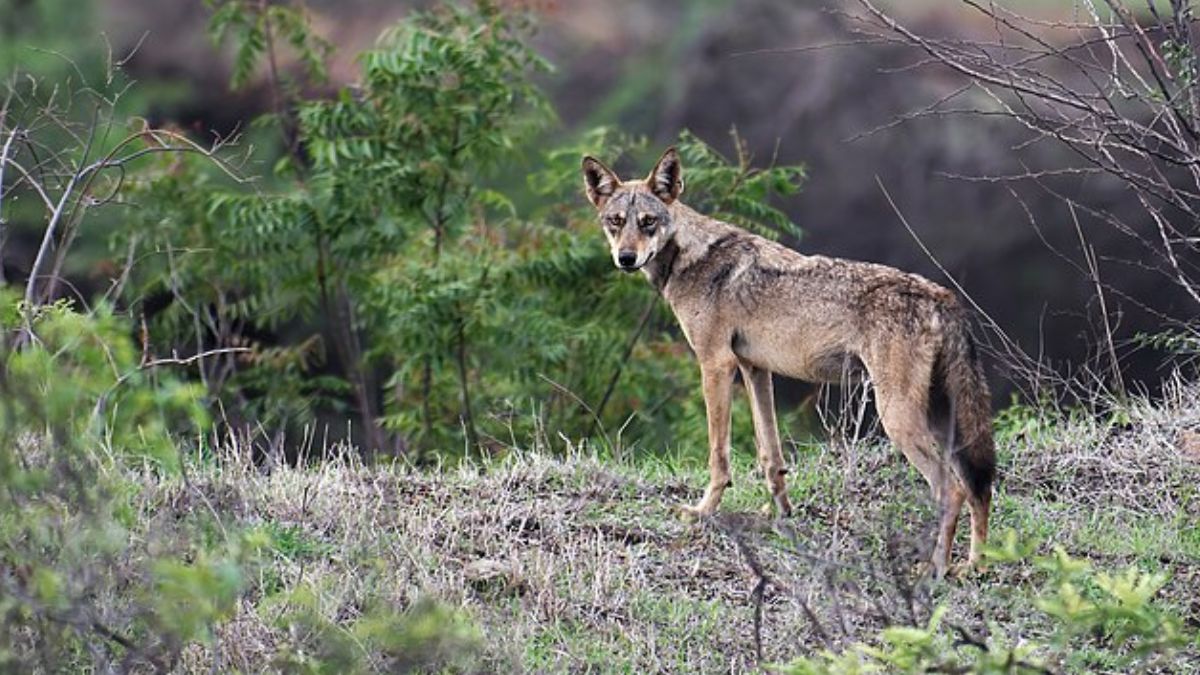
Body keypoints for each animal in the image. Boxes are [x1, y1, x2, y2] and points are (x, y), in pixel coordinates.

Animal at [581, 147, 996, 576]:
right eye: (616, 221)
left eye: (648, 222)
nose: (626, 258)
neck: (690, 257)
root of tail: (942, 297)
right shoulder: (754, 369)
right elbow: (771, 454)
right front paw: (779, 515)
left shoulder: (716, 364)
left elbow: (719, 456)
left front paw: (702, 512)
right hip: (942, 419)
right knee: (979, 487)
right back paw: (974, 565)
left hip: (896, 416)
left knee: (952, 489)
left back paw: (934, 569)